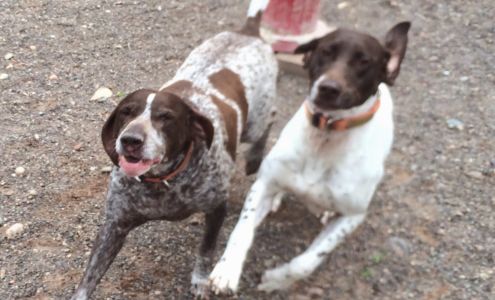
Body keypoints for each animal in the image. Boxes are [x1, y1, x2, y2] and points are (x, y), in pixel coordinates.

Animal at [71, 1, 278, 298]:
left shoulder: (217, 208)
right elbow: (90, 275)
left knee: (268, 123)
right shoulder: (115, 225)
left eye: (165, 117)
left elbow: (205, 252)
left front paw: (200, 281)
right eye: (126, 112)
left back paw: (254, 157)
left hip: (256, 121)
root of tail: (248, 31)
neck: (163, 183)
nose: (130, 140)